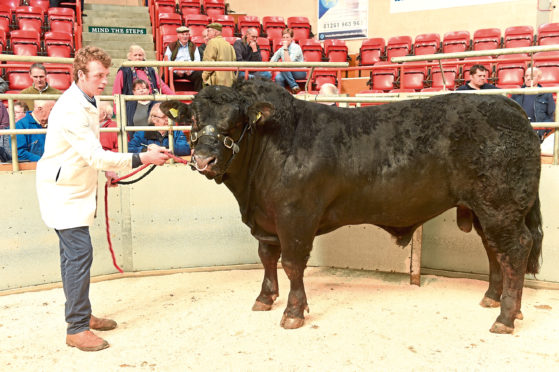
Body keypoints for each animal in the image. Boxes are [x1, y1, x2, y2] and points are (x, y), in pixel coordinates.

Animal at [161, 79, 544, 334]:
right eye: (193, 118)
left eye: (238, 121)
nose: (203, 159)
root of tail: (510, 107)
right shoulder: (266, 222)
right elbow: (268, 259)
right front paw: (265, 298)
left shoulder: (295, 217)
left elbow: (292, 264)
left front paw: (293, 312)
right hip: (485, 209)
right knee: (495, 250)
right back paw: (493, 298)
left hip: (500, 207)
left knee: (515, 248)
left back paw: (505, 317)